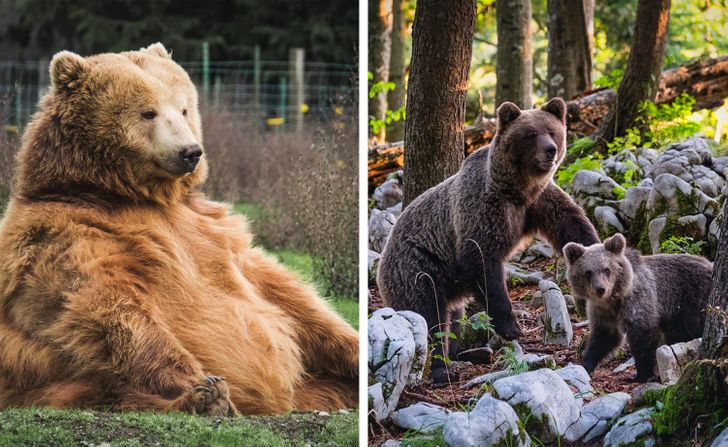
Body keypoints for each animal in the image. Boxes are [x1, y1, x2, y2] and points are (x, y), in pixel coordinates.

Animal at [0, 44, 358, 416]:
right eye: (148, 112)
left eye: (184, 108)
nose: (190, 152)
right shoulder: (68, 235)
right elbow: (109, 307)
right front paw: (203, 384)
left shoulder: (210, 229)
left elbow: (285, 292)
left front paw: (354, 349)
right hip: (47, 375)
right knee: (110, 388)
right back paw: (205, 399)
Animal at [376, 100, 596, 384]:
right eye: (530, 134)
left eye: (552, 131)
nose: (551, 150)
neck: (517, 189)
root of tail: (384, 255)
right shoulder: (483, 207)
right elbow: (481, 259)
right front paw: (512, 327)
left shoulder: (538, 202)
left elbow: (571, 223)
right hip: (419, 267)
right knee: (429, 316)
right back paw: (442, 369)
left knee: (452, 318)